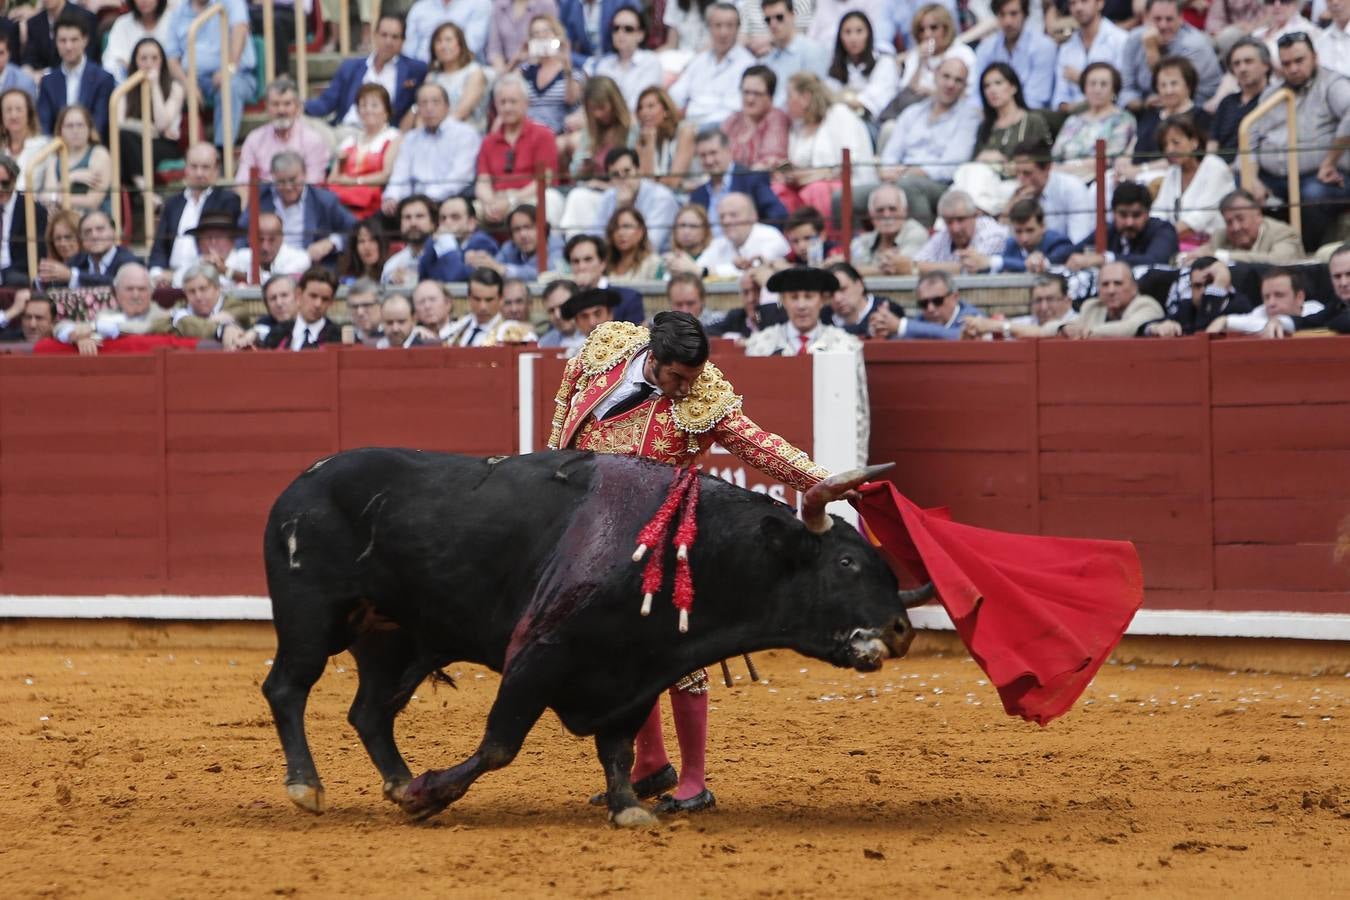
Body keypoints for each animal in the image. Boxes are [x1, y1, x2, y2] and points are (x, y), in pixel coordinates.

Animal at [261, 447, 934, 825]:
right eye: (845, 564)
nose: (900, 631)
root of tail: (299, 484)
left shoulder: (636, 673)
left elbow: (616, 749)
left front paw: (630, 807)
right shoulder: (537, 655)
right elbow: (500, 744)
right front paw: (432, 796)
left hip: (394, 640)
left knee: (370, 711)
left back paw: (396, 780)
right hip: (310, 618)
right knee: (287, 689)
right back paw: (307, 787)